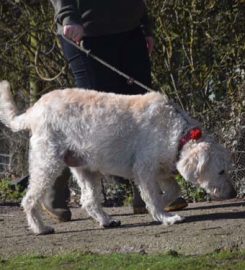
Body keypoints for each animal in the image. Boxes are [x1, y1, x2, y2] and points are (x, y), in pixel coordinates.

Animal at [0, 81, 235, 235]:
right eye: (221, 171)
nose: (233, 193)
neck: (177, 132)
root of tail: (34, 110)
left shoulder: (161, 169)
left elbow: (173, 189)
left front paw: (163, 206)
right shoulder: (145, 170)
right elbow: (153, 196)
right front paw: (165, 217)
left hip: (85, 168)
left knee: (89, 200)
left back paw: (106, 221)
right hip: (47, 163)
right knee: (30, 199)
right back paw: (40, 228)